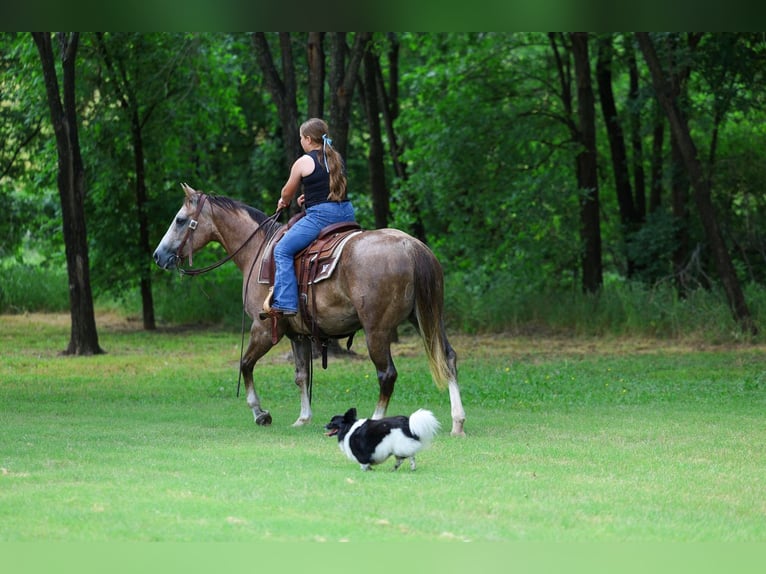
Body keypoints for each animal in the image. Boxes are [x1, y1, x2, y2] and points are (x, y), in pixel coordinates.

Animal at [153, 183, 466, 436]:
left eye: (180, 220)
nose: (158, 255)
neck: (258, 250)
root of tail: (411, 246)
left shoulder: (263, 328)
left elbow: (245, 364)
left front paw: (260, 413)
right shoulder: (298, 334)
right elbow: (301, 375)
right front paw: (303, 418)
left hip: (377, 330)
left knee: (386, 373)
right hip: (428, 319)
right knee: (448, 358)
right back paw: (457, 422)